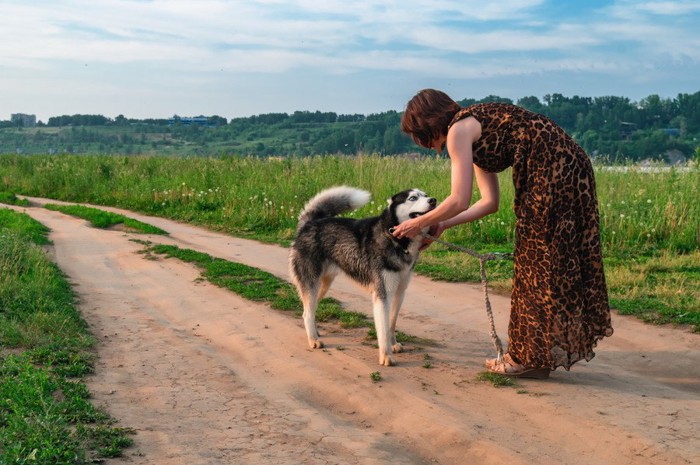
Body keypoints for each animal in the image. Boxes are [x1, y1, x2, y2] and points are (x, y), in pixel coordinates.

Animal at [288, 186, 434, 366]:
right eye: (413, 198)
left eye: (426, 195)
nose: (433, 200)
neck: (394, 238)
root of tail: (309, 224)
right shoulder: (382, 295)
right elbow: (383, 329)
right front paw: (385, 355)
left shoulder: (399, 292)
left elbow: (391, 323)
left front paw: (393, 344)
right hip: (311, 283)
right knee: (307, 313)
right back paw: (313, 339)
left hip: (322, 286)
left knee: (309, 310)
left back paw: (314, 333)